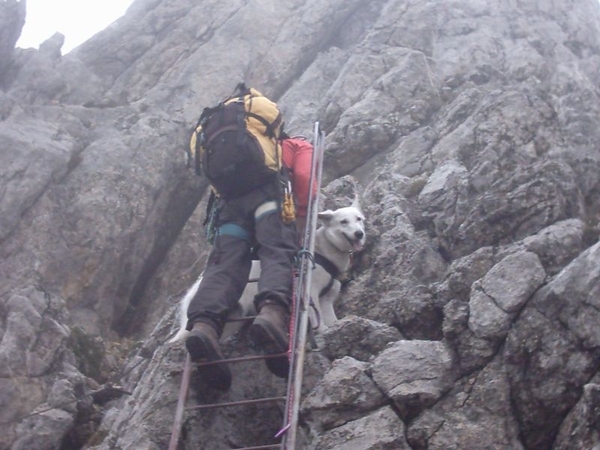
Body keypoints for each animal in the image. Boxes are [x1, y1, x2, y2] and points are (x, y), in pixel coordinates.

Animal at [169, 196, 366, 342]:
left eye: (359, 219)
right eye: (343, 221)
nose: (359, 234)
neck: (325, 249)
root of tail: (188, 297)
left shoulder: (327, 299)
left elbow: (331, 318)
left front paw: (334, 327)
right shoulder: (311, 294)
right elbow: (316, 317)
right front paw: (323, 331)